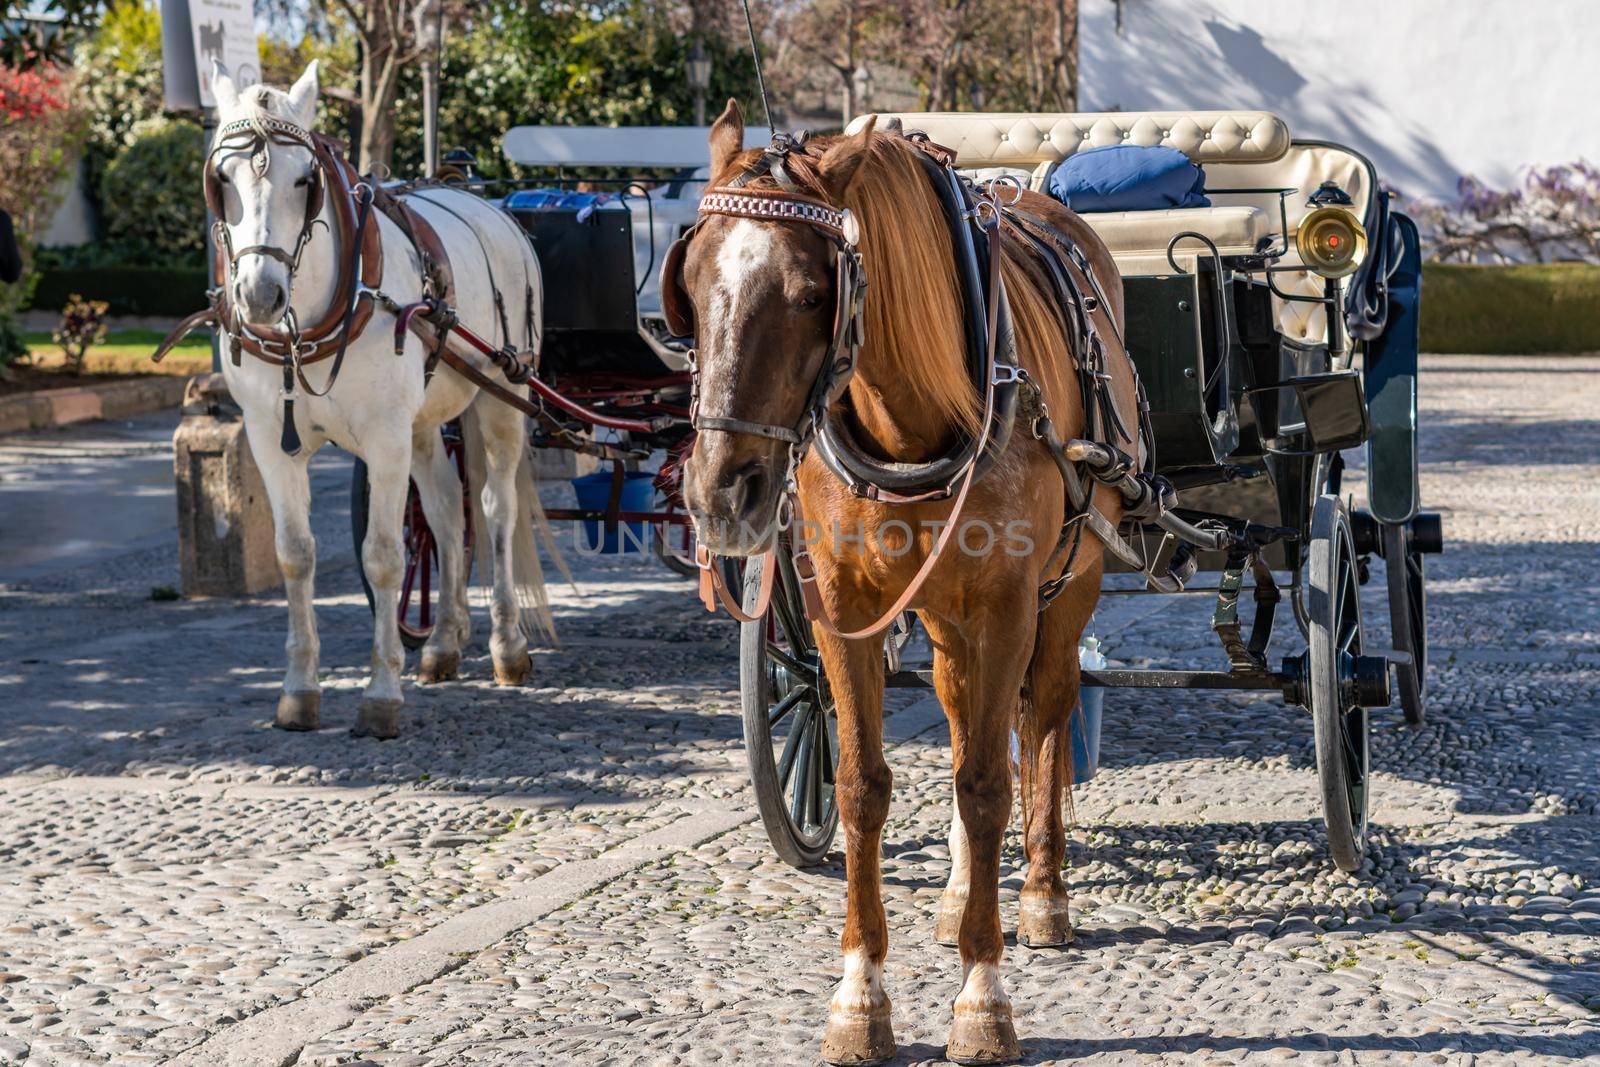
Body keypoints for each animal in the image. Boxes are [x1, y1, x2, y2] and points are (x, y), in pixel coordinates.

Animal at [211, 62, 556, 739]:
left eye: (304, 180)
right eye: (223, 182)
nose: (259, 296)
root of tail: (491, 208)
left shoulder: (383, 437)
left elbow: (384, 559)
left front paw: (380, 695)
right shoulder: (269, 439)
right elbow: (295, 556)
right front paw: (299, 691)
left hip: (503, 395)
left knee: (496, 511)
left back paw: (507, 647)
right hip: (422, 424)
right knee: (446, 514)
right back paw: (443, 643)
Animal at [675, 102, 1139, 1067]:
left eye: (810, 295)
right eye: (690, 288)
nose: (719, 492)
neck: (917, 416)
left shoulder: (1005, 604)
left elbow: (988, 781)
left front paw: (983, 995)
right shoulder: (841, 608)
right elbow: (863, 784)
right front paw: (860, 996)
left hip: (1069, 580)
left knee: (1042, 713)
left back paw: (1040, 892)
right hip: (940, 610)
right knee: (968, 714)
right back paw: (962, 893)